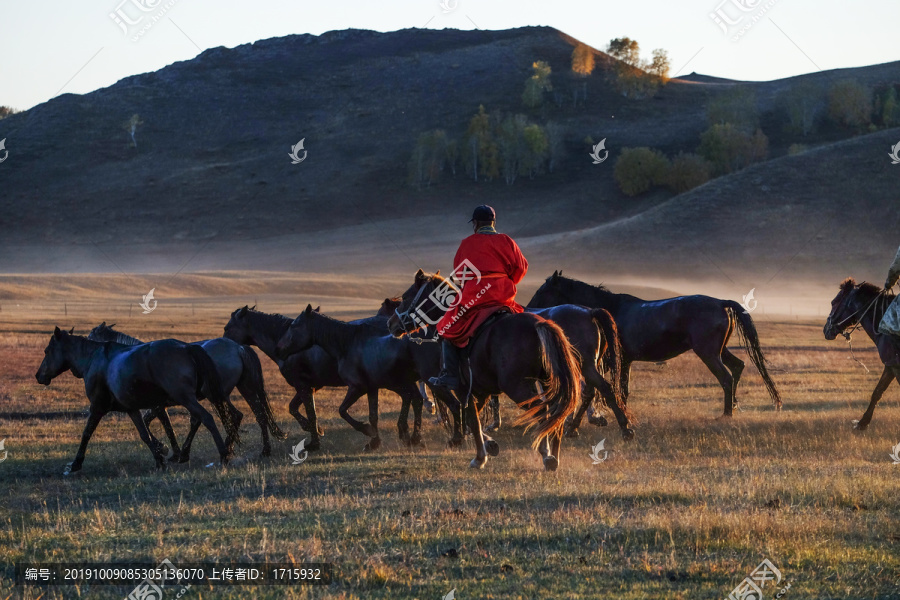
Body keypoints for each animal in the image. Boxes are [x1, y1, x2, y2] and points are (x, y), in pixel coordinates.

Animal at [36, 328, 239, 474]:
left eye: (47, 351)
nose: (38, 376)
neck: (92, 360)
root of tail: (186, 348)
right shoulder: (132, 409)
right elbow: (145, 435)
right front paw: (159, 461)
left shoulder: (97, 407)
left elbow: (86, 433)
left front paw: (75, 464)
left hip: (186, 398)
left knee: (207, 419)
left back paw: (224, 455)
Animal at [86, 324, 284, 460]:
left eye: (92, 336)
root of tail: (239, 348)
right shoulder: (164, 405)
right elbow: (158, 422)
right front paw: (172, 451)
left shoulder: (159, 406)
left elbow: (159, 424)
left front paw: (167, 450)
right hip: (244, 389)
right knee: (258, 414)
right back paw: (262, 450)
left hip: (217, 395)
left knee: (235, 415)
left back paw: (228, 448)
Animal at [386, 270, 584, 472]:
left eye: (405, 297)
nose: (390, 324)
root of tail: (539, 325)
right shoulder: (482, 391)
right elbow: (472, 419)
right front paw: (489, 444)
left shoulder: (462, 389)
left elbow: (472, 418)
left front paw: (480, 457)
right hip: (547, 382)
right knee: (556, 413)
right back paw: (555, 454)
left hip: (517, 387)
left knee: (541, 411)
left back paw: (547, 455)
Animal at [528, 272, 780, 418]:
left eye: (543, 290)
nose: (530, 308)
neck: (610, 309)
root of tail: (720, 302)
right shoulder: (625, 361)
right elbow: (623, 389)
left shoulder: (618, 360)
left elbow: (619, 389)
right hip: (720, 350)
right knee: (737, 367)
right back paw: (734, 406)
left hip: (708, 353)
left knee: (726, 378)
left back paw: (726, 413)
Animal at [824, 278, 900, 428]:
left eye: (834, 302)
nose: (825, 330)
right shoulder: (890, 366)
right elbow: (877, 392)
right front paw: (862, 423)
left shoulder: (894, 365)